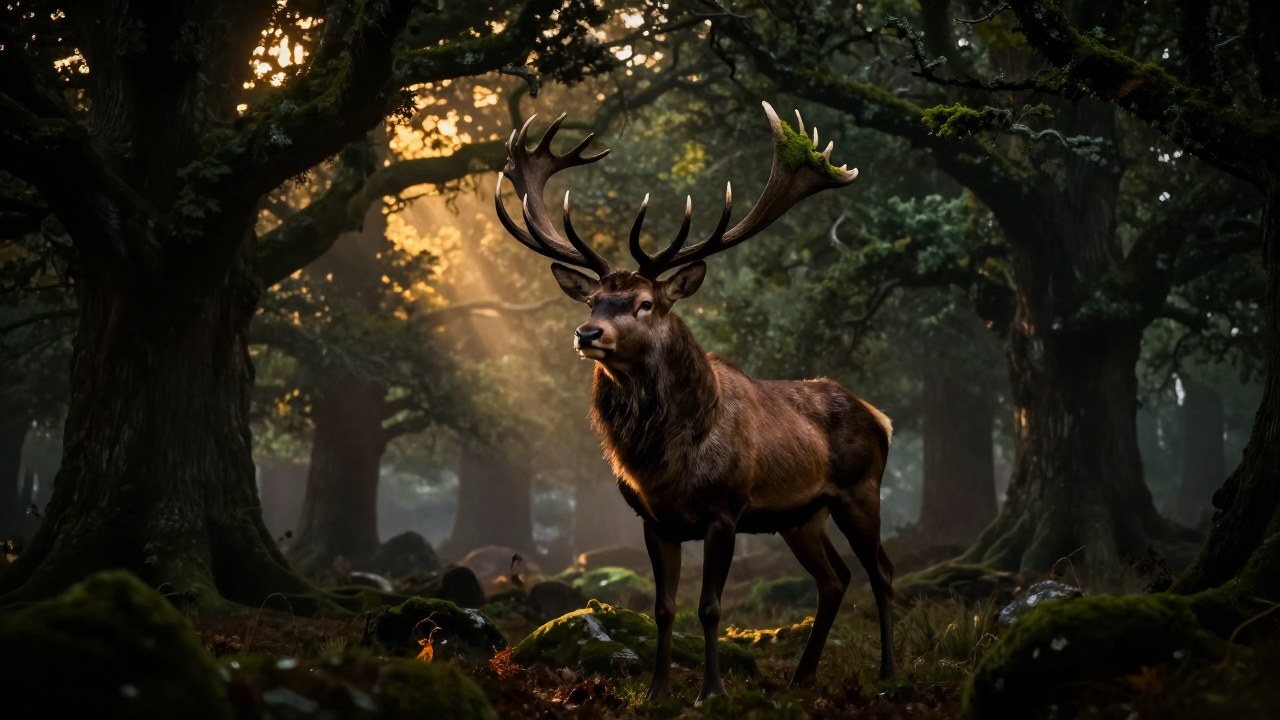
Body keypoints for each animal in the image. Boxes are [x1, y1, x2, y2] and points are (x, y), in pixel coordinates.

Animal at [494, 101, 896, 702]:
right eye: (593, 299)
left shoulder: (724, 510)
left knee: (881, 572)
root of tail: (881, 417)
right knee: (835, 577)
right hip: (801, 515)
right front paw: (658, 691)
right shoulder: (653, 519)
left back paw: (889, 672)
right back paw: (801, 676)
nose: (587, 333)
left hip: (860, 492)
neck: (666, 461)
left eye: (644, 303)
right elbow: (664, 608)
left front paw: (712, 691)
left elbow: (709, 608)